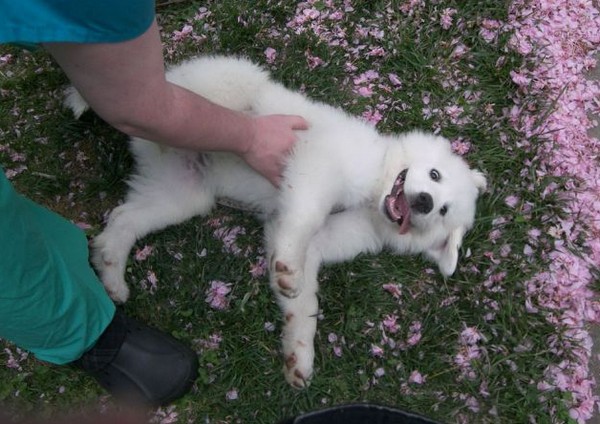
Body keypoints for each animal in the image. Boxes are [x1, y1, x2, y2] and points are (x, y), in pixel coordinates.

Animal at [65, 56, 487, 388]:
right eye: (434, 175)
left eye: (443, 211)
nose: (425, 201)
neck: (372, 194)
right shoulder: (317, 169)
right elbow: (304, 220)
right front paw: (287, 271)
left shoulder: (320, 241)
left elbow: (304, 303)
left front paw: (298, 356)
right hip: (230, 85)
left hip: (179, 193)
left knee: (124, 216)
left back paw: (111, 275)